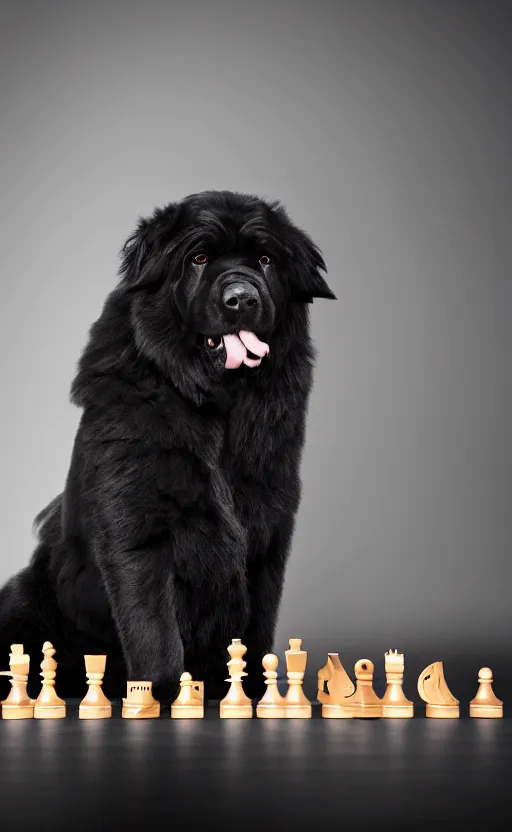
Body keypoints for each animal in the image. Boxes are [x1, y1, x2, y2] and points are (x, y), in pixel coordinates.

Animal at [0, 190, 336, 704]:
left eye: (265, 259)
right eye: (198, 258)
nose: (242, 299)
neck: (217, 407)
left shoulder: (269, 536)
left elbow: (255, 633)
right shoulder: (138, 532)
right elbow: (155, 634)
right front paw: (159, 697)